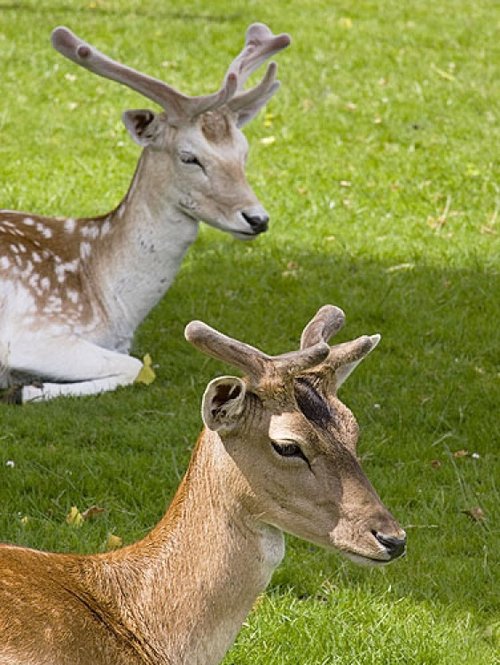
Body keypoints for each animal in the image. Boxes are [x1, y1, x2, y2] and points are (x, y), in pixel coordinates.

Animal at [0, 23, 290, 403]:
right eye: (189, 157)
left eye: (243, 151)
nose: (257, 219)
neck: (110, 302)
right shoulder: (31, 332)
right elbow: (137, 367)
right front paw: (28, 389)